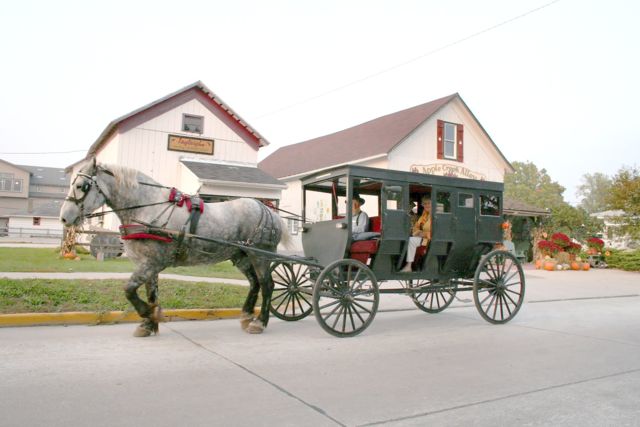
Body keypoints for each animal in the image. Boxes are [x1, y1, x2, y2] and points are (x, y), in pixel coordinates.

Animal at [60, 159, 290, 340]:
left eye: (81, 185)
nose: (64, 217)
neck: (148, 208)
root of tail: (268, 210)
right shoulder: (148, 265)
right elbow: (150, 293)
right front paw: (148, 323)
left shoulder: (151, 263)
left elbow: (128, 290)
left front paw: (149, 314)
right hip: (241, 256)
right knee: (254, 283)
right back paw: (247, 315)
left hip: (260, 255)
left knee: (267, 285)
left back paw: (259, 322)